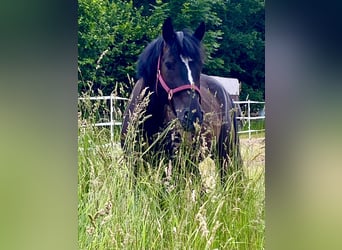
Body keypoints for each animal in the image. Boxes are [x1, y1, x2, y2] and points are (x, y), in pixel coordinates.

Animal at [121, 17, 242, 182]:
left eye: (199, 65)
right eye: (168, 64)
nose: (193, 115)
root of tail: (225, 92)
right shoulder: (134, 167)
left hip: (225, 154)